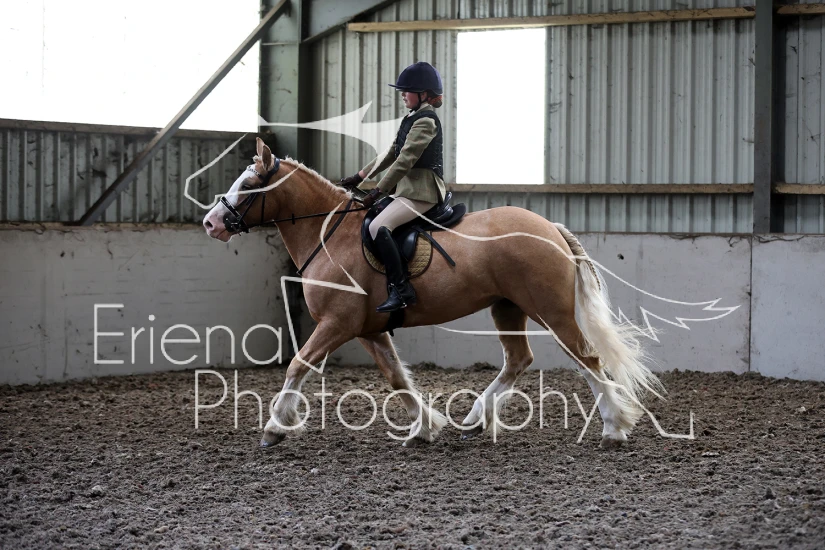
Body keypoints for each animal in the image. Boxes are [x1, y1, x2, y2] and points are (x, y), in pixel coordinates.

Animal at [202, 138, 664, 449]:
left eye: (250, 184)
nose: (211, 223)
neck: (331, 234)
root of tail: (549, 227)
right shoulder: (368, 329)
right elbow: (396, 378)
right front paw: (423, 428)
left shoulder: (337, 324)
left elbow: (298, 364)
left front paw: (274, 428)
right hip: (508, 308)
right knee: (518, 360)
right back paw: (476, 418)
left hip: (551, 311)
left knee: (588, 360)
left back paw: (613, 429)